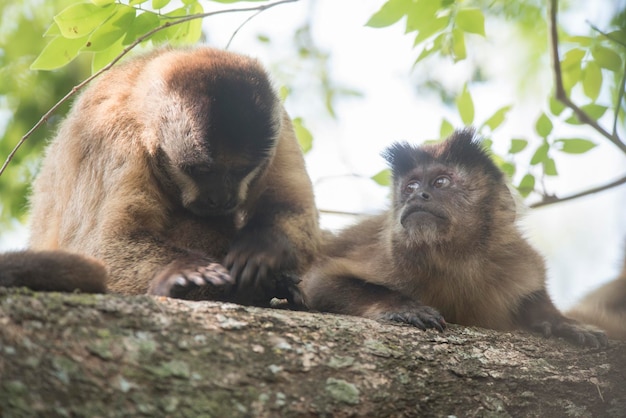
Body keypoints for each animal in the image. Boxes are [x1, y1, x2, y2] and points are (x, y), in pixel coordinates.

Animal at [302, 129, 604, 348]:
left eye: (440, 183)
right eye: (411, 186)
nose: (417, 195)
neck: (456, 261)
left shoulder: (517, 259)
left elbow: (535, 294)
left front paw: (560, 322)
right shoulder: (389, 257)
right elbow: (318, 283)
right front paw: (402, 307)